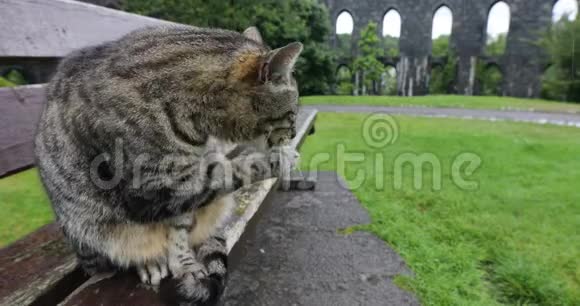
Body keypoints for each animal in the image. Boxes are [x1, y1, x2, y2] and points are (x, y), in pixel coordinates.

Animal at [35, 26, 304, 306]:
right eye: (292, 115)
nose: (294, 133)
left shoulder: (180, 194)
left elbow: (180, 227)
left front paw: (182, 260)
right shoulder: (156, 185)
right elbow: (229, 170)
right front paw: (280, 158)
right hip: (89, 231)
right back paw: (148, 261)